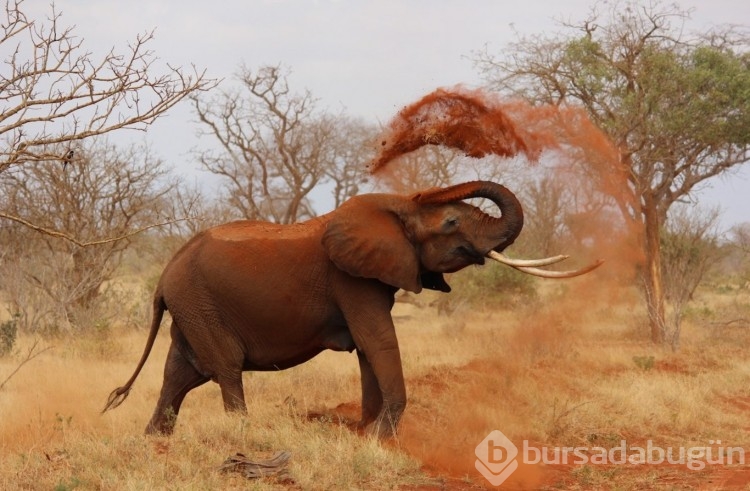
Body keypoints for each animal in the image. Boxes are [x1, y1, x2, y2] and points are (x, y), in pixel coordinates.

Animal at [104, 180, 600, 438]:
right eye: (452, 222)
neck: (396, 207)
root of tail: (164, 274)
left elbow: (368, 349)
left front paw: (365, 432)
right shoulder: (351, 280)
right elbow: (378, 340)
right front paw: (381, 438)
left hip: (191, 307)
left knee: (180, 373)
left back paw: (155, 442)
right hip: (200, 303)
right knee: (223, 368)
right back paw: (244, 435)